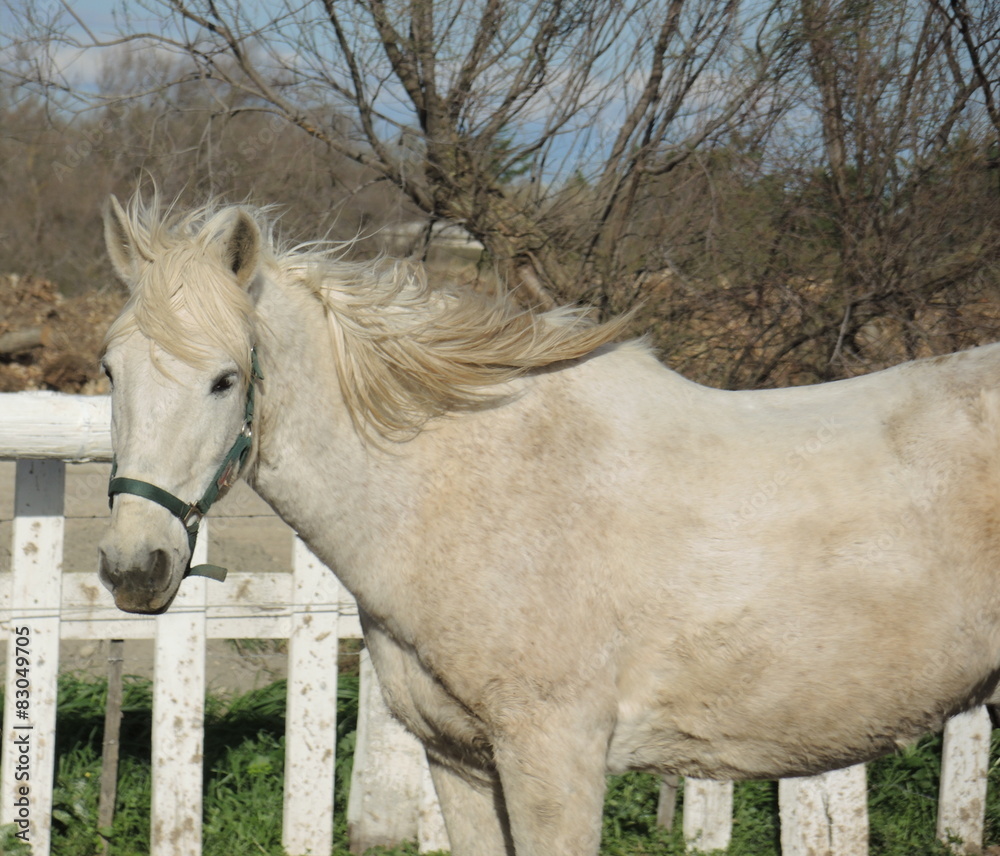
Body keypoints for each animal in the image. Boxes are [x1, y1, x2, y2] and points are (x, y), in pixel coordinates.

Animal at [97, 191, 1000, 856]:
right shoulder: (459, 762)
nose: (133, 567)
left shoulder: (554, 758)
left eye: (224, 379)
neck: (470, 488)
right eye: (110, 369)